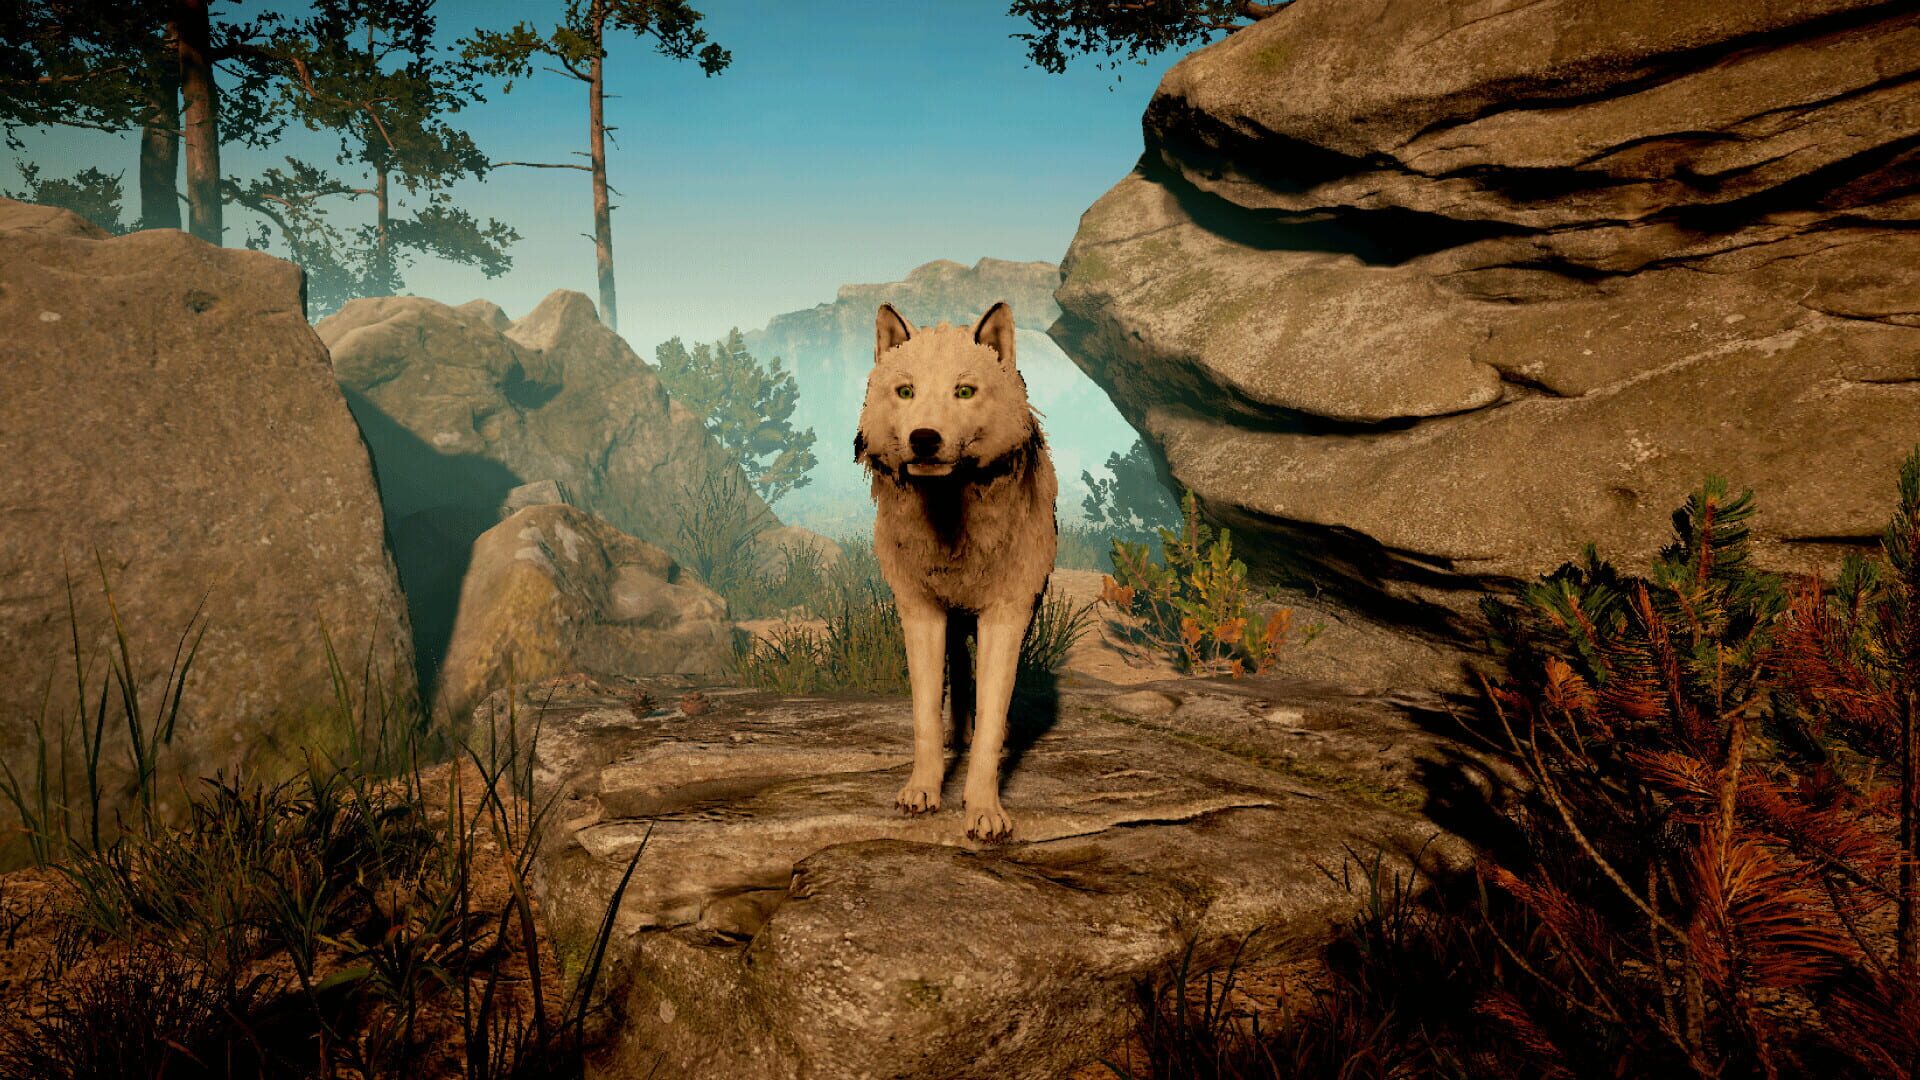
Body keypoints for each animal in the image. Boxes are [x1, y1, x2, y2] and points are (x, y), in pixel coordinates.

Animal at [855, 301, 1058, 841]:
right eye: (905, 391)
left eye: (964, 391)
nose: (924, 438)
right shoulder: (921, 612)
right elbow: (925, 713)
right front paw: (922, 790)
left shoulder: (1006, 615)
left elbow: (990, 717)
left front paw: (984, 809)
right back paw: (954, 736)